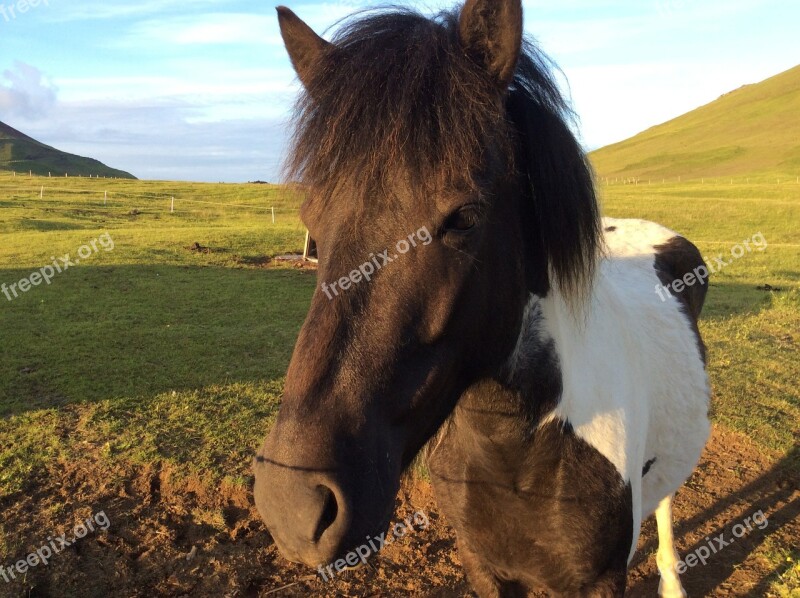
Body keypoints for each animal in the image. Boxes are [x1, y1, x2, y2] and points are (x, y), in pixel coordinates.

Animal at [253, 2, 708, 596]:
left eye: (465, 217)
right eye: (311, 218)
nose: (293, 504)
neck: (514, 450)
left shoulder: (600, 580)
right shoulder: (481, 562)